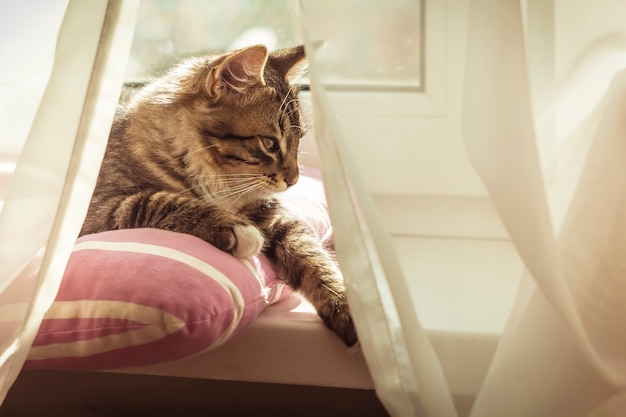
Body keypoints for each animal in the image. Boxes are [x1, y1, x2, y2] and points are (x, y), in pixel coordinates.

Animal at [80, 44, 358, 346]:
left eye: (299, 140)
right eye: (270, 143)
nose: (294, 180)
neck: (217, 179)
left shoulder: (274, 218)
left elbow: (313, 258)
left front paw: (345, 305)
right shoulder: (97, 207)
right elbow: (156, 201)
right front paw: (233, 227)